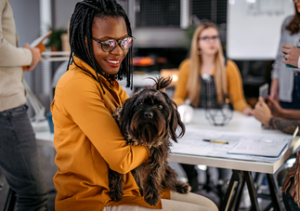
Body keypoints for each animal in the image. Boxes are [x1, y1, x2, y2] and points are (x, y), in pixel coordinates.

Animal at [109, 76, 190, 205]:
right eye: (141, 103)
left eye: (160, 106)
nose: (148, 114)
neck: (143, 136)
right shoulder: (118, 155)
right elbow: (117, 170)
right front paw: (116, 191)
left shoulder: (158, 154)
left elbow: (154, 174)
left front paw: (152, 196)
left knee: (168, 178)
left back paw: (180, 186)